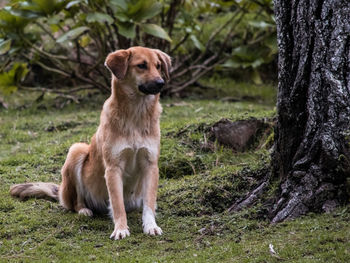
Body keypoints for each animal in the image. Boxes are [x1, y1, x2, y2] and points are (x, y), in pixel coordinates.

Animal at [9, 46, 171, 240]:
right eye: (141, 66)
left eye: (158, 65)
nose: (161, 83)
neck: (135, 115)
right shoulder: (113, 168)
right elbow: (117, 204)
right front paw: (120, 228)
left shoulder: (150, 165)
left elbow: (149, 202)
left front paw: (150, 225)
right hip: (77, 150)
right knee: (76, 202)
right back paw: (84, 210)